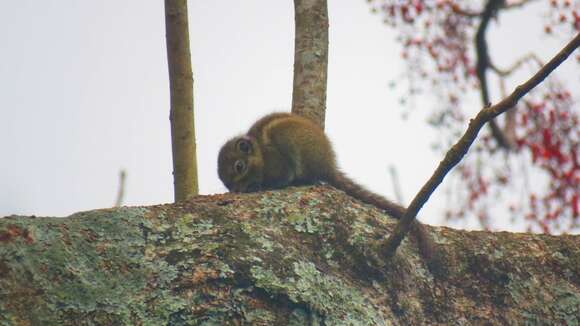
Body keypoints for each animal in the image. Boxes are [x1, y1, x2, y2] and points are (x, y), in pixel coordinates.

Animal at [219, 112, 440, 270]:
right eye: (227, 184)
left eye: (239, 167)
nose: (237, 190)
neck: (260, 155)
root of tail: (328, 165)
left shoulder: (277, 162)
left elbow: (282, 176)